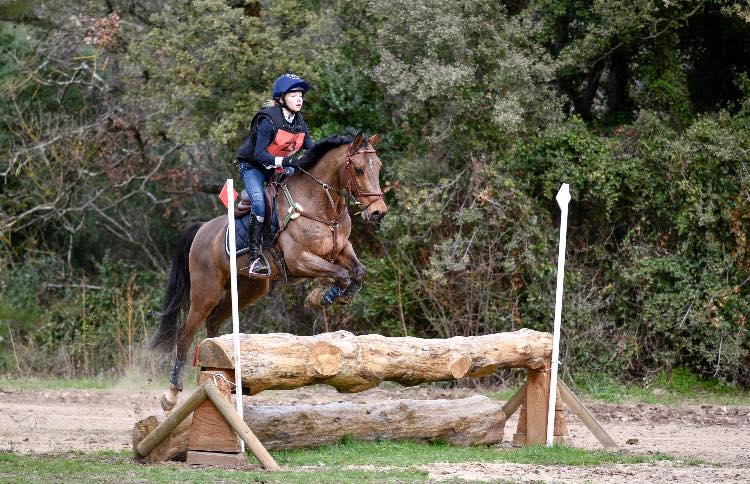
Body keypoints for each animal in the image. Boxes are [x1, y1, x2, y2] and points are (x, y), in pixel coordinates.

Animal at [151, 131, 390, 408]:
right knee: (185, 333)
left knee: (214, 321)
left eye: (379, 167)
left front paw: (341, 295)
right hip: (206, 292)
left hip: (249, 289)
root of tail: (202, 229)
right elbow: (339, 275)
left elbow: (358, 272)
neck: (321, 207)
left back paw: (221, 358)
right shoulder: (299, 259)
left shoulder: (342, 250)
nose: (378, 213)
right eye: (359, 169)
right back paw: (171, 395)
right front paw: (322, 296)